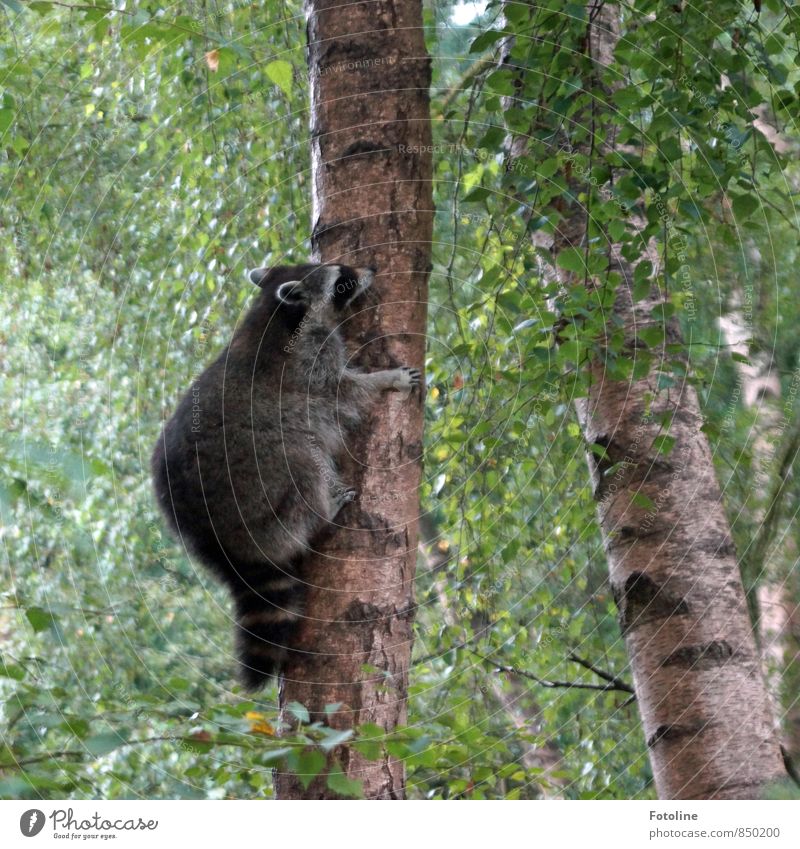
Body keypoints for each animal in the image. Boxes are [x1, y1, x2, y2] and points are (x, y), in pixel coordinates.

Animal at [152, 264, 422, 688]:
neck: (274, 311)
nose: (370, 271)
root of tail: (212, 536)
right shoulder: (311, 361)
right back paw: (324, 510)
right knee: (304, 464)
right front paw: (386, 379)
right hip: (260, 484)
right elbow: (343, 390)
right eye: (343, 280)